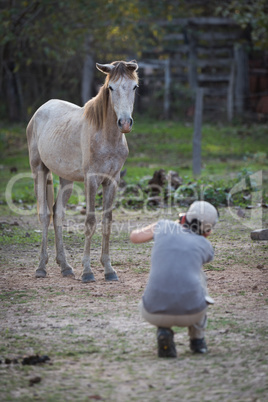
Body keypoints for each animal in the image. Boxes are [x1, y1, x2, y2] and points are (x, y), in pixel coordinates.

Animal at [26, 60, 139, 282]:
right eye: (111, 88)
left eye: (134, 87)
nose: (124, 123)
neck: (107, 137)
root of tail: (40, 111)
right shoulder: (91, 180)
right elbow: (90, 221)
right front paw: (87, 272)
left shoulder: (112, 181)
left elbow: (106, 221)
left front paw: (109, 270)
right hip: (39, 170)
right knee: (44, 214)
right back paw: (41, 268)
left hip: (66, 179)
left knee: (57, 214)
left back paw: (65, 267)